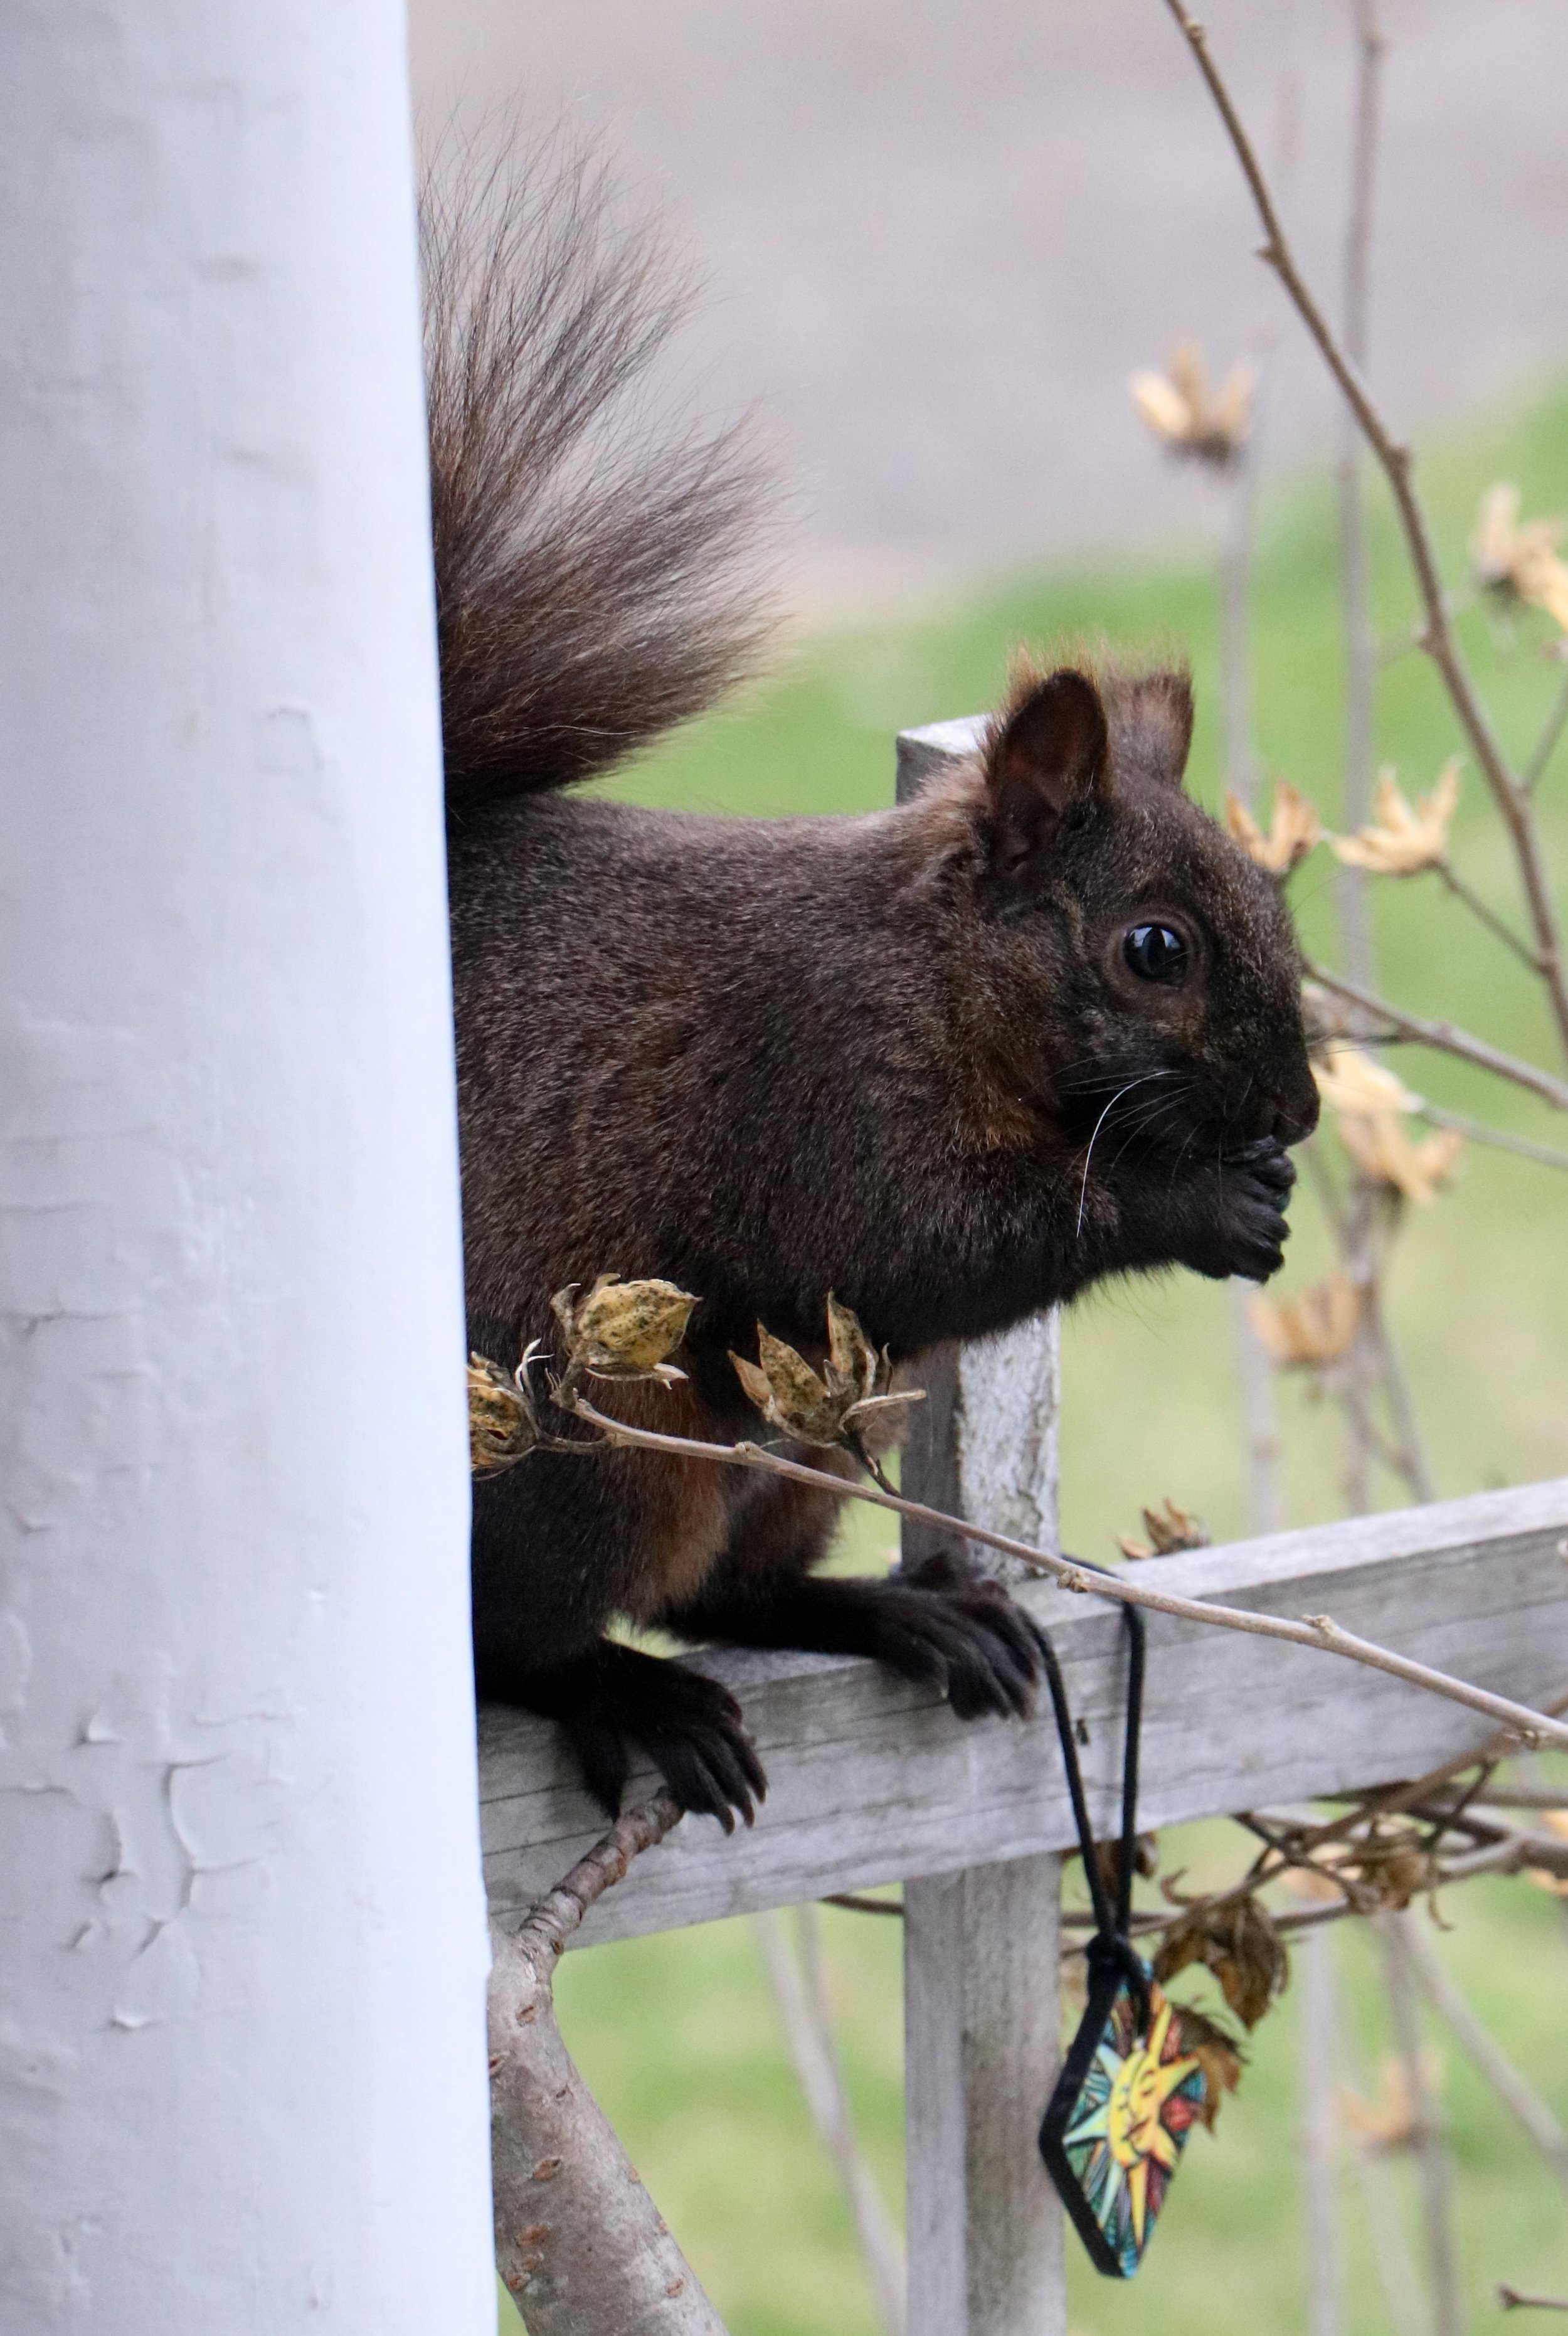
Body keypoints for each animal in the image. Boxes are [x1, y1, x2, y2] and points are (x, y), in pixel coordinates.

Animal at [428, 157, 1320, 1830]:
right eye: (1152, 948)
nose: (1298, 1109)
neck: (937, 975)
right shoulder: (817, 1092)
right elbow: (932, 1242)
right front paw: (1197, 1204)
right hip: (595, 1457)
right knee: (517, 1645)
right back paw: (626, 1693)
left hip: (828, 1432)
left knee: (734, 1589)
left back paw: (897, 1614)